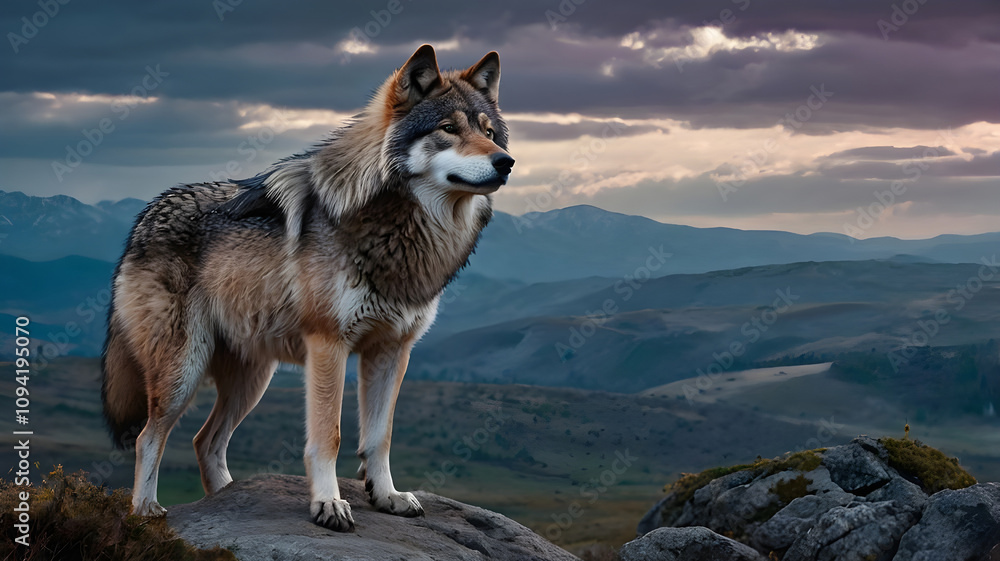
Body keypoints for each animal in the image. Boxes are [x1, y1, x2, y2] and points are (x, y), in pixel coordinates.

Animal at [101, 44, 513, 532]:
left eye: (489, 132)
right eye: (448, 129)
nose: (506, 162)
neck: (398, 232)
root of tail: (144, 218)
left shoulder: (392, 350)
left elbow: (380, 436)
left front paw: (387, 496)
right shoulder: (328, 344)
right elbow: (329, 436)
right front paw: (328, 503)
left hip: (252, 379)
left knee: (206, 441)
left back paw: (226, 501)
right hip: (184, 369)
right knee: (149, 436)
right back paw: (146, 509)